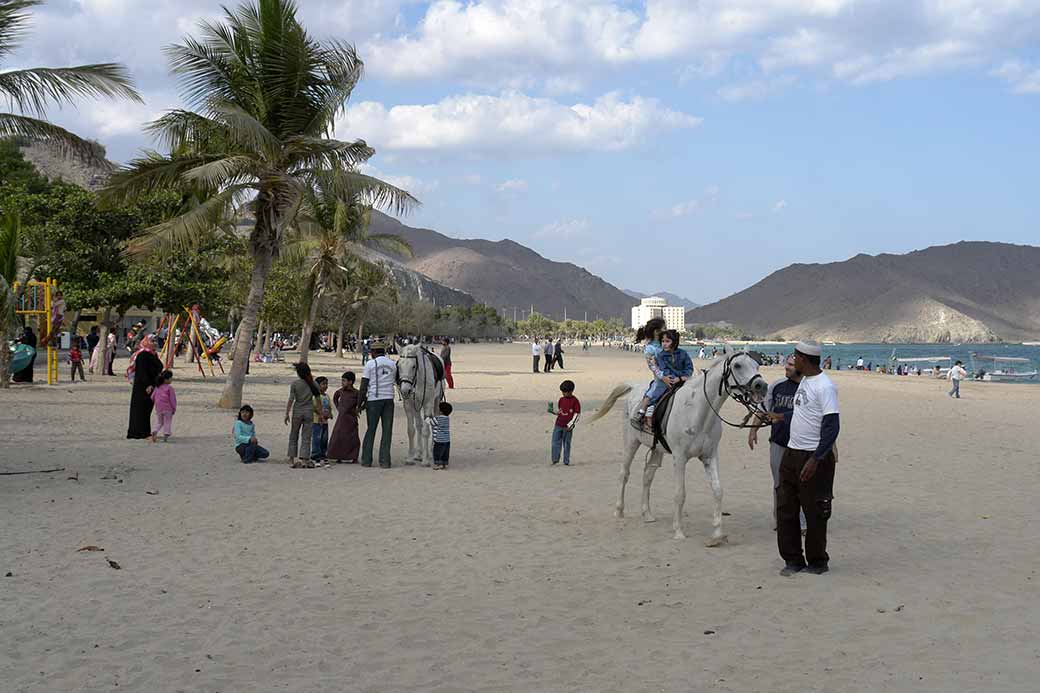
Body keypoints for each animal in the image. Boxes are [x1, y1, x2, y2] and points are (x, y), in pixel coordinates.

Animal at [590, 353, 769, 541]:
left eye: (757, 364)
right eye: (737, 365)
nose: (761, 386)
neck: (698, 412)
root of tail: (634, 387)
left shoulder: (710, 456)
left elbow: (718, 490)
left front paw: (717, 534)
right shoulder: (680, 458)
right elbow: (680, 494)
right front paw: (678, 531)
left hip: (657, 449)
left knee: (647, 476)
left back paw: (647, 514)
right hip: (631, 443)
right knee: (624, 474)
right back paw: (619, 511)